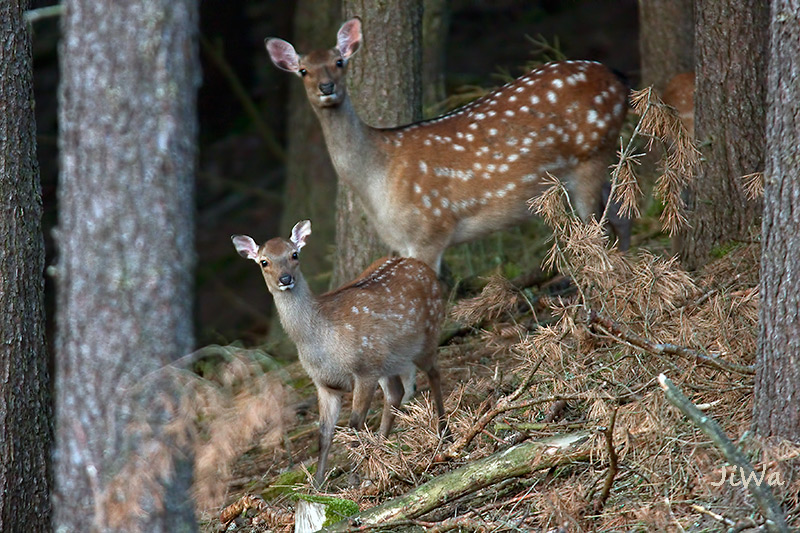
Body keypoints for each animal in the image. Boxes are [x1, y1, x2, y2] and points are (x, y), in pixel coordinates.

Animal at [232, 220, 447, 488]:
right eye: (264, 261)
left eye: (294, 254)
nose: (285, 278)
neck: (320, 344)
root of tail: (423, 267)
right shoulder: (324, 384)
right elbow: (324, 433)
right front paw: (317, 485)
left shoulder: (363, 371)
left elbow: (354, 424)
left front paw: (352, 479)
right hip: (386, 360)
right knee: (396, 393)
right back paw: (382, 453)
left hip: (425, 335)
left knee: (434, 374)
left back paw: (443, 433)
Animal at [265, 17, 631, 274]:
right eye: (303, 70)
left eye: (339, 62)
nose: (326, 87)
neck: (378, 177)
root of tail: (617, 78)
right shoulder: (403, 243)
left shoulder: (429, 231)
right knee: (621, 212)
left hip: (590, 155)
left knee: (598, 230)